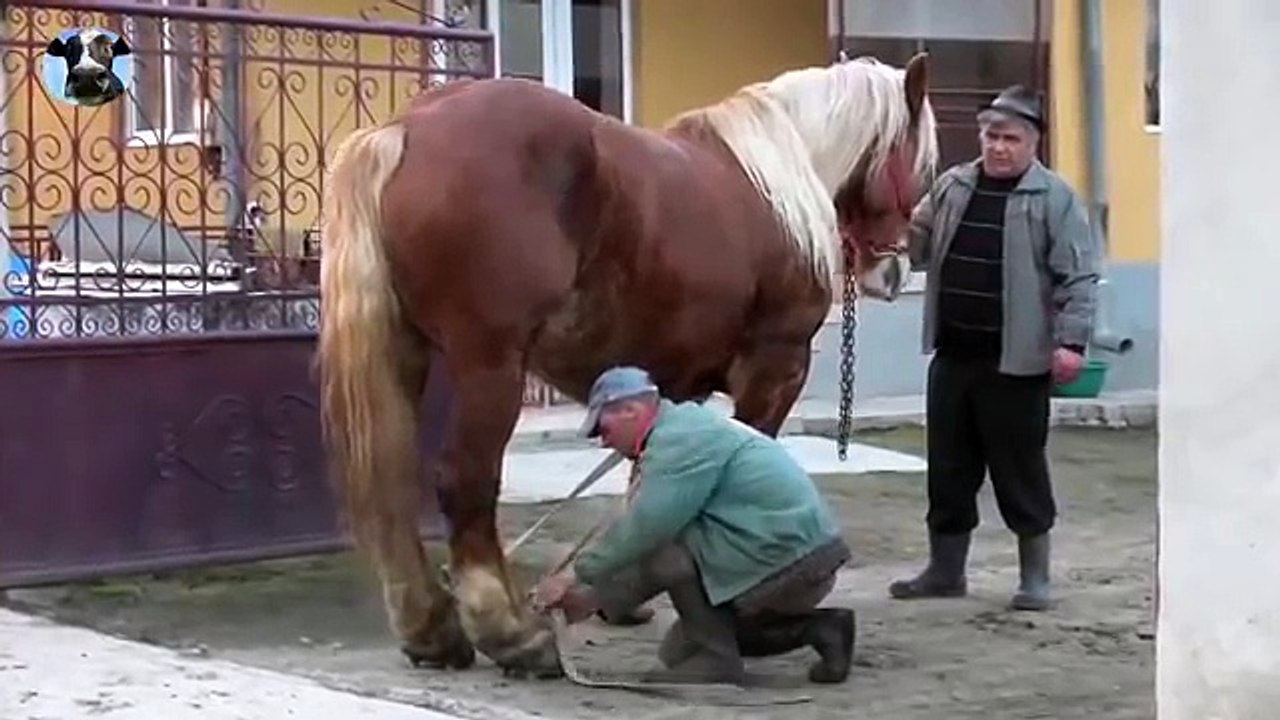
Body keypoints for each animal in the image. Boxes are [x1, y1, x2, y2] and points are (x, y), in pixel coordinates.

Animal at [317, 52, 939, 679]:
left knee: (395, 483)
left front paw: (620, 601)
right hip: (490, 366)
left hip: (408, 353)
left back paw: (432, 631)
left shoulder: (672, 387)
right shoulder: (774, 367)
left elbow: (646, 484)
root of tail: (407, 127)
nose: (894, 272)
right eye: (921, 162)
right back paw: (515, 636)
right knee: (465, 482)